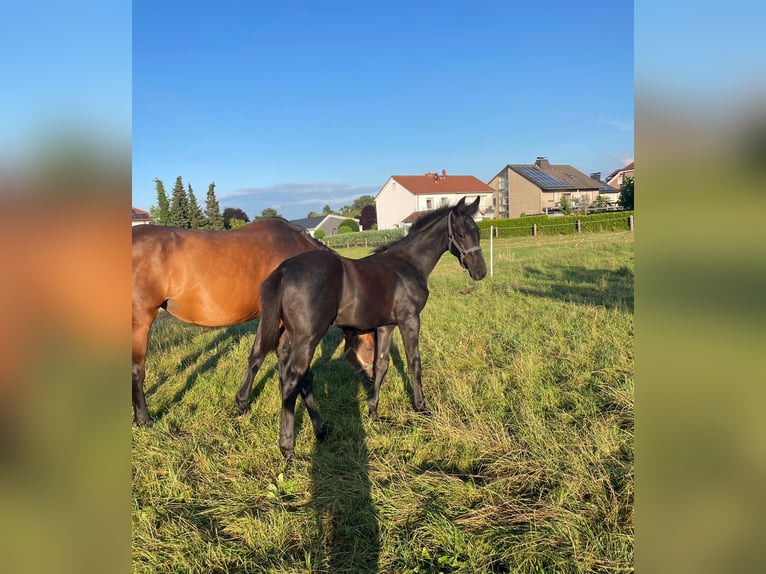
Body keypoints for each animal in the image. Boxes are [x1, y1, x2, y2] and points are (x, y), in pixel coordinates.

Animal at [133, 220, 378, 428]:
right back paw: (144, 419)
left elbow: (281, 358)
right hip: (141, 319)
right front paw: (242, 404)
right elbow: (258, 357)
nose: (374, 380)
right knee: (137, 369)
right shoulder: (276, 318)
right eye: (370, 346)